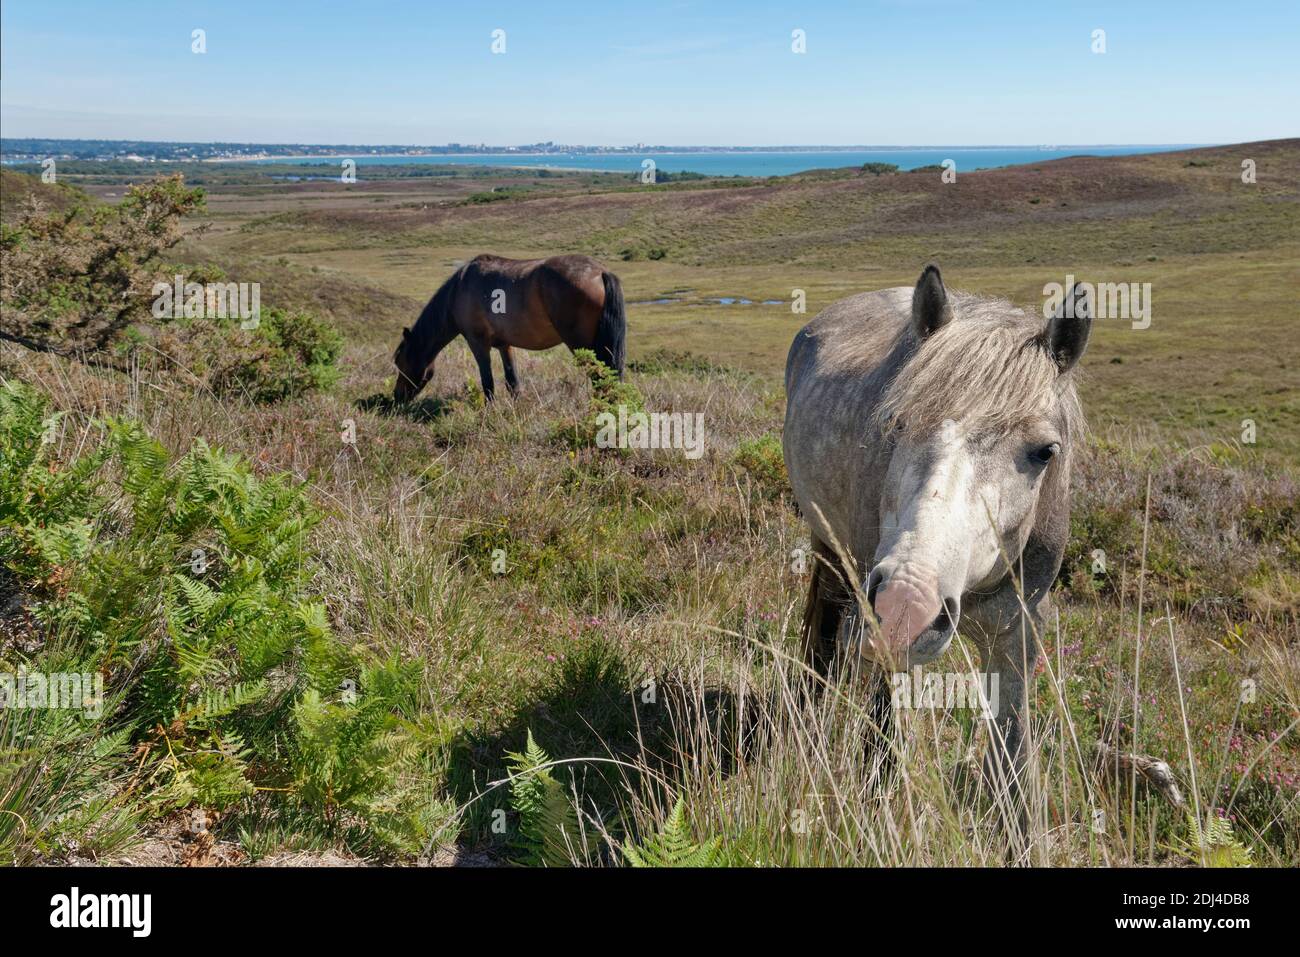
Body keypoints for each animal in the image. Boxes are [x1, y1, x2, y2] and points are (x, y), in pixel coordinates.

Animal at [390, 252, 624, 403]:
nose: (396, 397)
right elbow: (512, 382)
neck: (459, 290)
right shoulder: (505, 345)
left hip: (583, 347)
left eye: (400, 362)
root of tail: (601, 272)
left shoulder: (477, 344)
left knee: (600, 379)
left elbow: (488, 382)